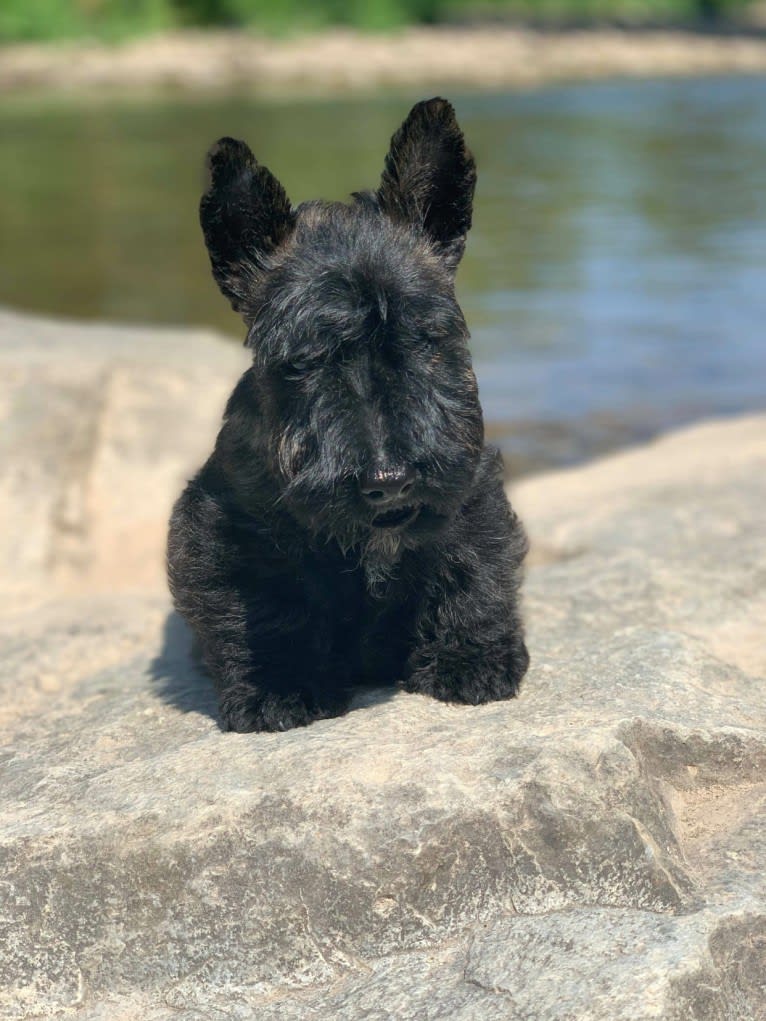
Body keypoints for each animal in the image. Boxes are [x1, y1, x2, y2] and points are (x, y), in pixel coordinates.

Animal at [167, 99, 527, 731]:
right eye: (306, 359)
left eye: (427, 335)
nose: (391, 481)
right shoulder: (228, 525)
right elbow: (265, 606)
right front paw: (278, 686)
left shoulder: (470, 497)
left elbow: (472, 571)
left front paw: (472, 658)